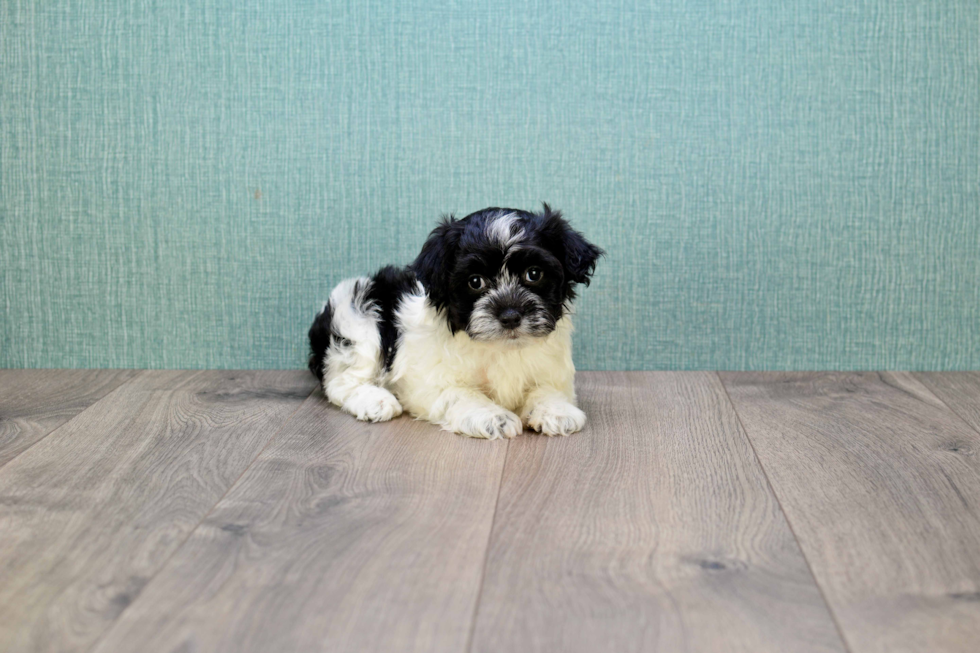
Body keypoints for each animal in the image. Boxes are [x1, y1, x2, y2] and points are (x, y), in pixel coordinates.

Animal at [306, 204, 600, 438]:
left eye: (534, 274)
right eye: (475, 282)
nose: (510, 316)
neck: (502, 348)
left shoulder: (551, 370)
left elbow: (547, 388)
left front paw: (556, 411)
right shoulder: (430, 382)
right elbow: (461, 393)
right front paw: (494, 417)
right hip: (359, 314)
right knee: (341, 380)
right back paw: (375, 401)